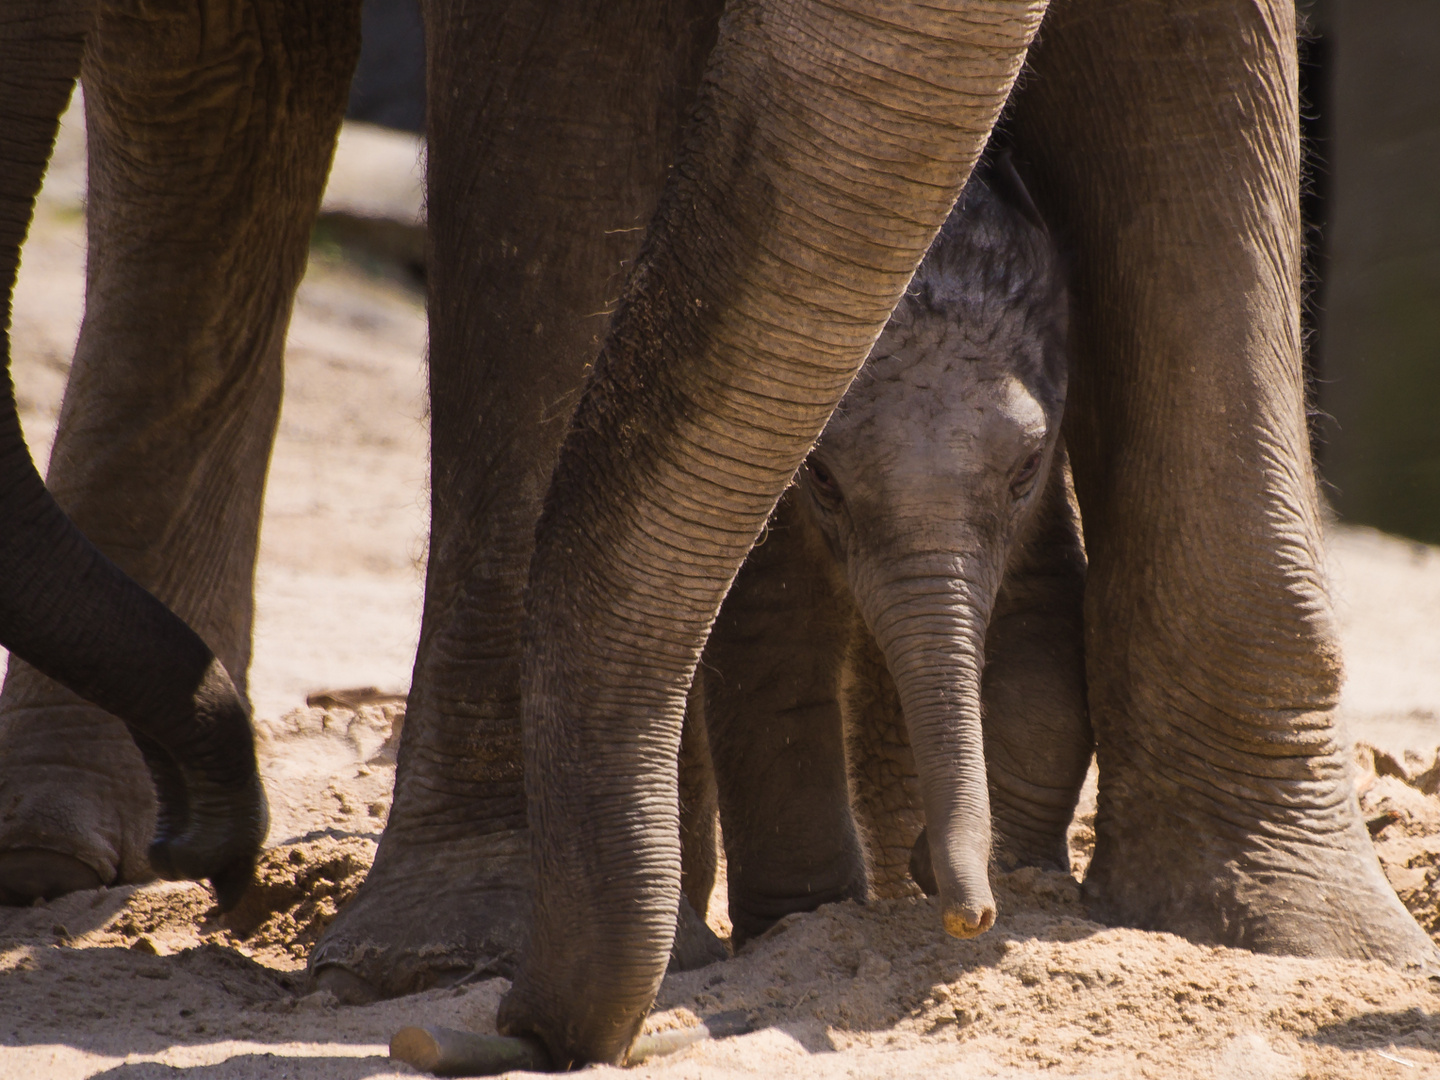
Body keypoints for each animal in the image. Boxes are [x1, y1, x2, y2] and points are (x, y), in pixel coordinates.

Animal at [679, 160, 1094, 944]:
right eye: (820, 475)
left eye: (1026, 467)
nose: (971, 917)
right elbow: (769, 643)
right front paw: (802, 920)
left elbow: (1045, 609)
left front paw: (1014, 872)